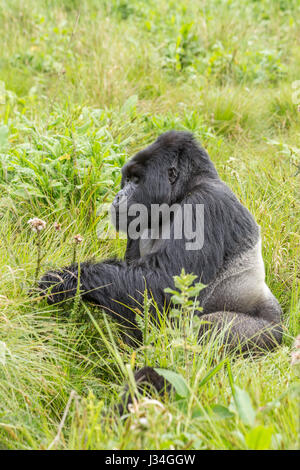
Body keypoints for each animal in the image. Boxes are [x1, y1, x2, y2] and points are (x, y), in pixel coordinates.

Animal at [39, 130, 284, 398]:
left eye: (136, 181)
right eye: (127, 180)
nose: (118, 197)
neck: (180, 195)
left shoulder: (204, 205)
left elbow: (162, 284)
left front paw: (67, 279)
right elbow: (134, 291)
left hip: (269, 335)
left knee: (206, 330)